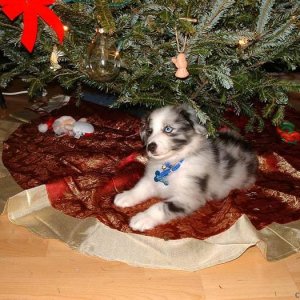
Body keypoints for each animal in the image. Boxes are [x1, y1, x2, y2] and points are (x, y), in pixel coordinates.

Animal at [113, 104, 256, 231]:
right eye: (149, 131)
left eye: (168, 129)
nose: (150, 147)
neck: (173, 163)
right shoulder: (152, 180)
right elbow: (140, 187)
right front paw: (126, 196)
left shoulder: (189, 197)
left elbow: (161, 207)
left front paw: (143, 218)